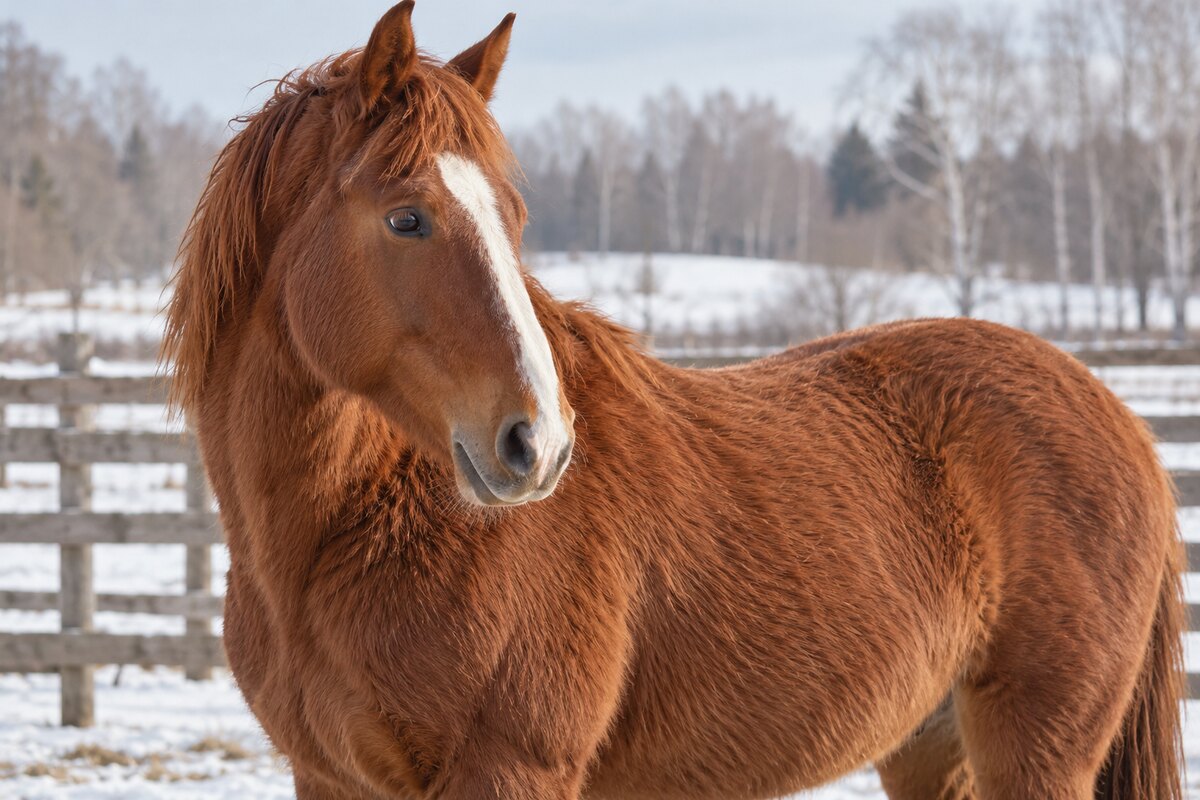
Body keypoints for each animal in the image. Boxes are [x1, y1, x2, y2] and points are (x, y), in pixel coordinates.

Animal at [162, 3, 1185, 798]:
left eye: (513, 219)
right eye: (406, 217)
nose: (538, 444)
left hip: (1037, 754)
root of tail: (1125, 425)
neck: (346, 532)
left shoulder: (510, 770)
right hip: (931, 750)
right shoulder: (329, 777)